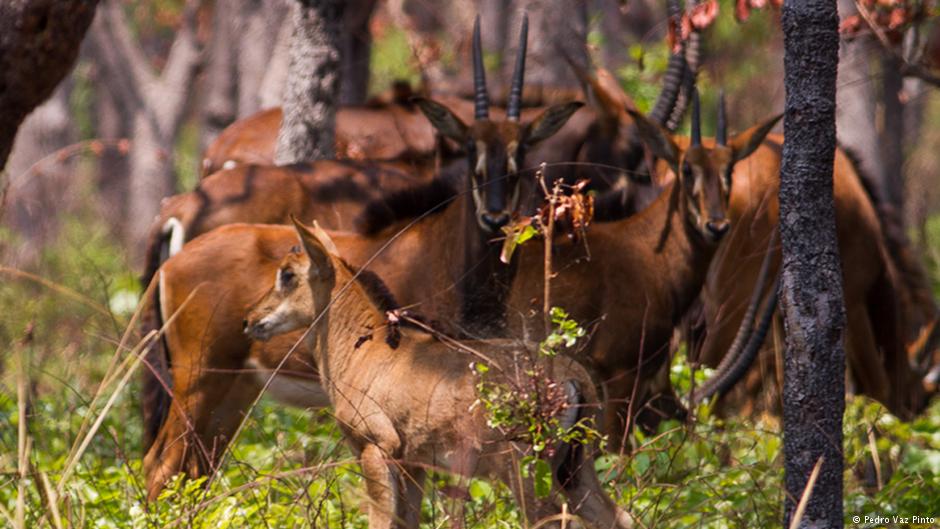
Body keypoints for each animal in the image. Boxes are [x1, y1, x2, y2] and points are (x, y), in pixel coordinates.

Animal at [141, 14, 588, 498]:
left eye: (521, 151)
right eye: (472, 149)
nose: (495, 215)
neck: (447, 252)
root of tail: (173, 244)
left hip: (235, 388)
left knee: (194, 469)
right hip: (199, 378)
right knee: (160, 465)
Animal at [246, 218, 636, 528]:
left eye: (288, 274)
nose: (250, 320)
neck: (362, 351)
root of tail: (574, 377)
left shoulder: (375, 447)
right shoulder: (413, 463)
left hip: (523, 466)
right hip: (576, 469)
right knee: (617, 516)